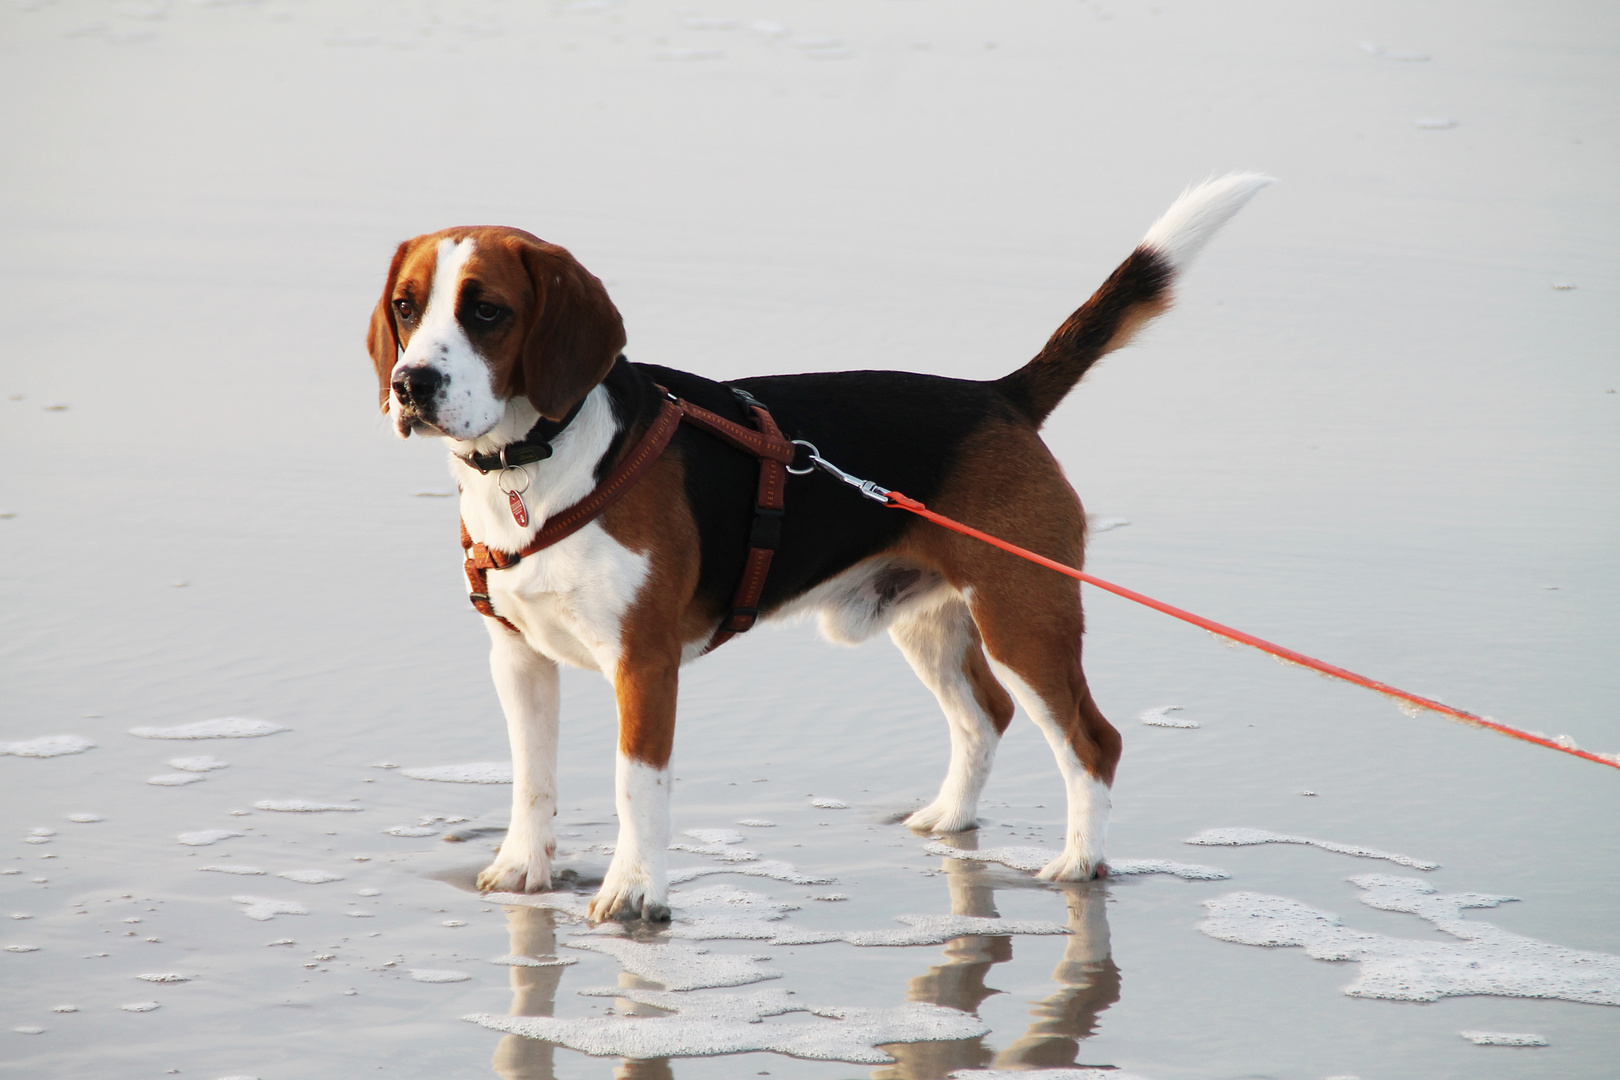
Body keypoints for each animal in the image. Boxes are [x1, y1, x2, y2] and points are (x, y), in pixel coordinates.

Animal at [367, 175, 1263, 919]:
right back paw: (949, 819)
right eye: (407, 308)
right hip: (930, 623)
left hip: (1024, 620)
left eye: (487, 311)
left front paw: (633, 894)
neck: (539, 462)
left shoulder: (644, 666)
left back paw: (1078, 862)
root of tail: (998, 396)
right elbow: (533, 779)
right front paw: (525, 870)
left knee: (1091, 742)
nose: (410, 386)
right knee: (986, 716)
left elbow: (635, 789)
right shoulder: (517, 657)